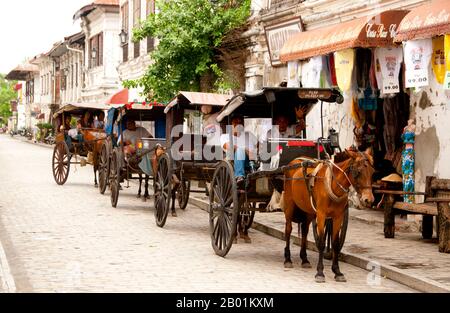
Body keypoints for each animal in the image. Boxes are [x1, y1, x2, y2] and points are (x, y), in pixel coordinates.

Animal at [284, 147, 374, 282]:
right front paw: (320, 272)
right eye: (358, 172)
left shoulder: (338, 217)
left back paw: (304, 259)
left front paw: (337, 271)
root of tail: (295, 161)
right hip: (289, 205)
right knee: (288, 230)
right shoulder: (321, 215)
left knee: (304, 231)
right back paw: (287, 259)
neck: (333, 184)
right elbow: (321, 242)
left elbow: (335, 243)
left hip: (308, 210)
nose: (369, 199)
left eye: (373, 172)